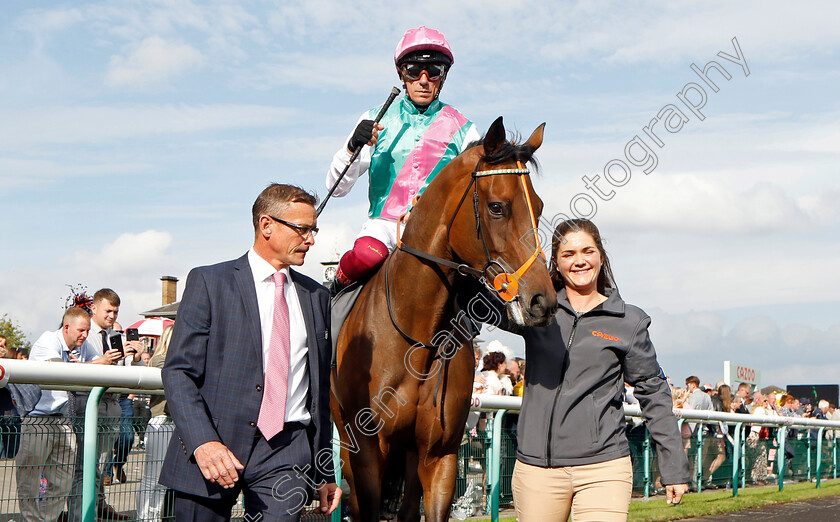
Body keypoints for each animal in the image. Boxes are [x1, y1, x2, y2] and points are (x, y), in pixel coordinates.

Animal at [330, 116, 556, 516]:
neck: (417, 336)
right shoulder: (368, 452)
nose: (541, 301)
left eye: (539, 207)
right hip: (346, 440)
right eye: (497, 207)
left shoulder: (440, 455)